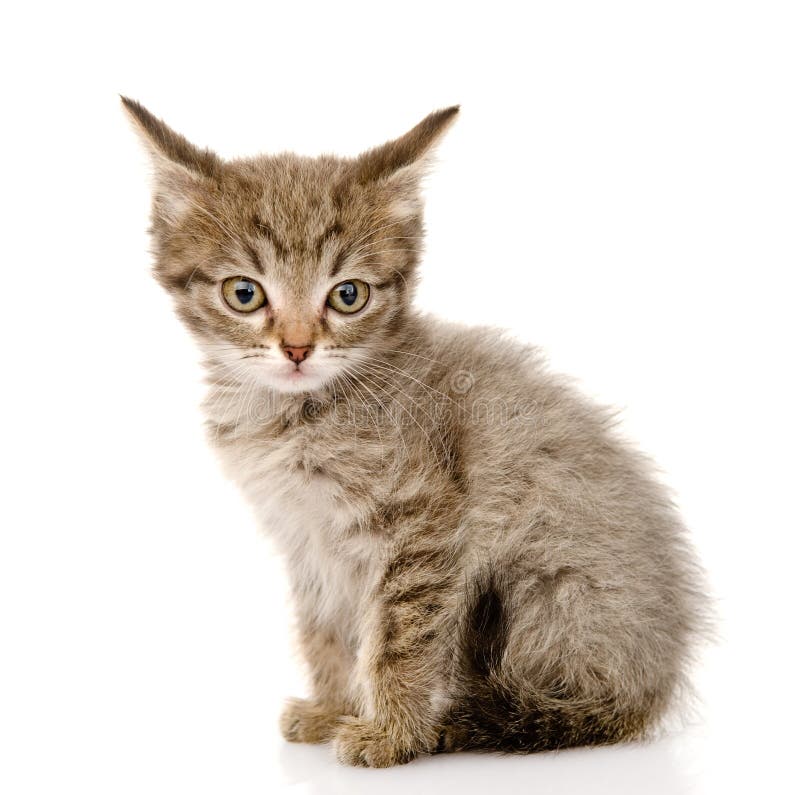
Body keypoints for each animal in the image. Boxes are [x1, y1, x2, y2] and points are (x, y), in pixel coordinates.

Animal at [123, 96, 708, 768]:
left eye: (348, 295)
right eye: (243, 293)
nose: (296, 348)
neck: (295, 417)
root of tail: (655, 682)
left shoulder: (424, 521)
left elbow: (403, 634)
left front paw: (392, 732)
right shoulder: (309, 538)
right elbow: (326, 628)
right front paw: (334, 707)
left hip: (554, 588)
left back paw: (457, 723)